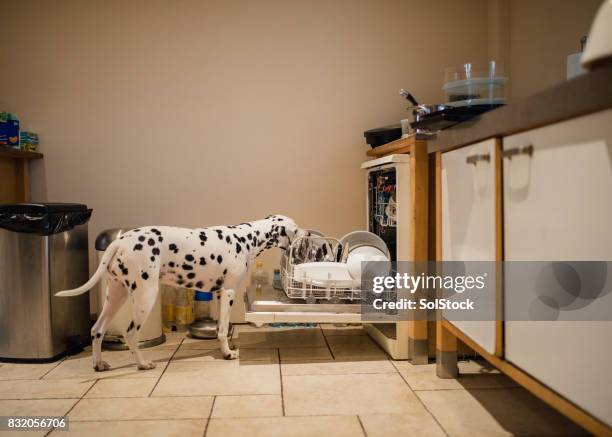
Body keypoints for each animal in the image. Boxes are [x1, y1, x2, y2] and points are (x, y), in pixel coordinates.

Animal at [55, 213, 306, 370]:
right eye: (295, 228)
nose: (306, 232)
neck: (246, 238)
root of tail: (121, 241)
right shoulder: (228, 292)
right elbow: (222, 330)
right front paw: (227, 354)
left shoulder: (218, 294)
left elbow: (221, 329)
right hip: (145, 296)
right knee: (130, 334)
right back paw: (142, 364)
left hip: (116, 296)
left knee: (97, 330)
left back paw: (98, 364)